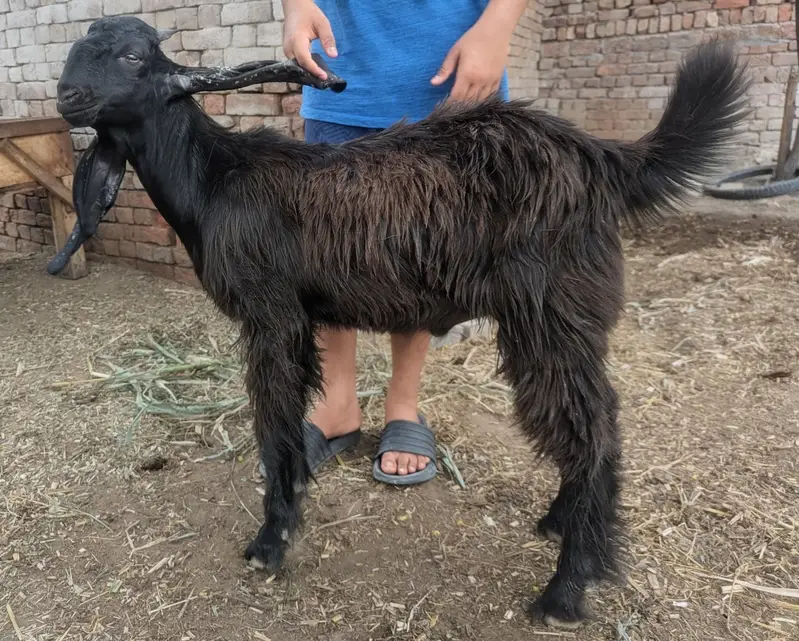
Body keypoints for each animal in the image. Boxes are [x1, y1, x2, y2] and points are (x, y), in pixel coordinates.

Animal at [50, 16, 749, 628]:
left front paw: (271, 540)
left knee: (592, 427)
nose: (66, 96)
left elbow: (274, 425)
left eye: (134, 57)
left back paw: (567, 587)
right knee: (599, 419)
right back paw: (564, 522)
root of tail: (597, 156)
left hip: (550, 313)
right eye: (77, 50)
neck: (216, 177)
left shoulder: (272, 316)